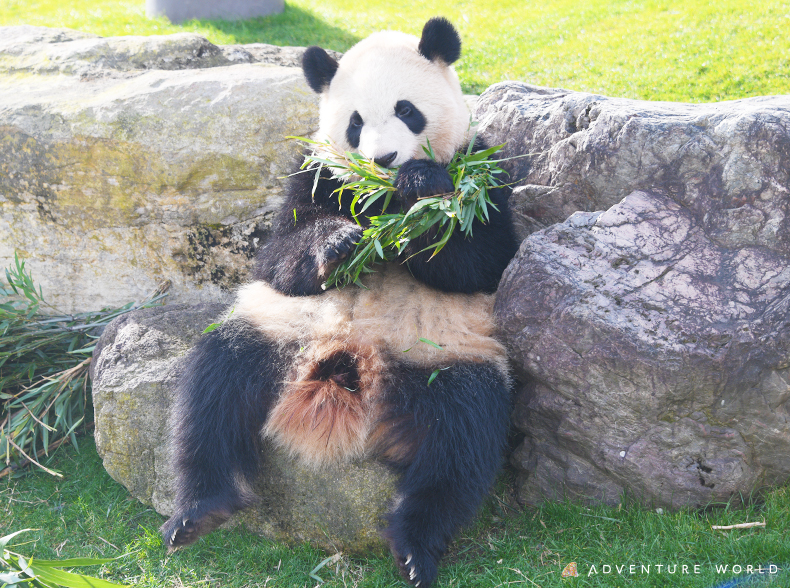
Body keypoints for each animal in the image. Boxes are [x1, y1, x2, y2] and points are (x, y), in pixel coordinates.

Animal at [160, 18, 520, 588]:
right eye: (354, 123)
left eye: (406, 109)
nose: (383, 160)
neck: (379, 197)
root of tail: (351, 366)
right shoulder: (312, 173)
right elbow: (276, 258)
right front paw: (342, 243)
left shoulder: (486, 166)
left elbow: (484, 259)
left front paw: (422, 191)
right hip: (275, 330)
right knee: (211, 392)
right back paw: (196, 511)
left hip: (444, 354)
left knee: (462, 439)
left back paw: (415, 548)